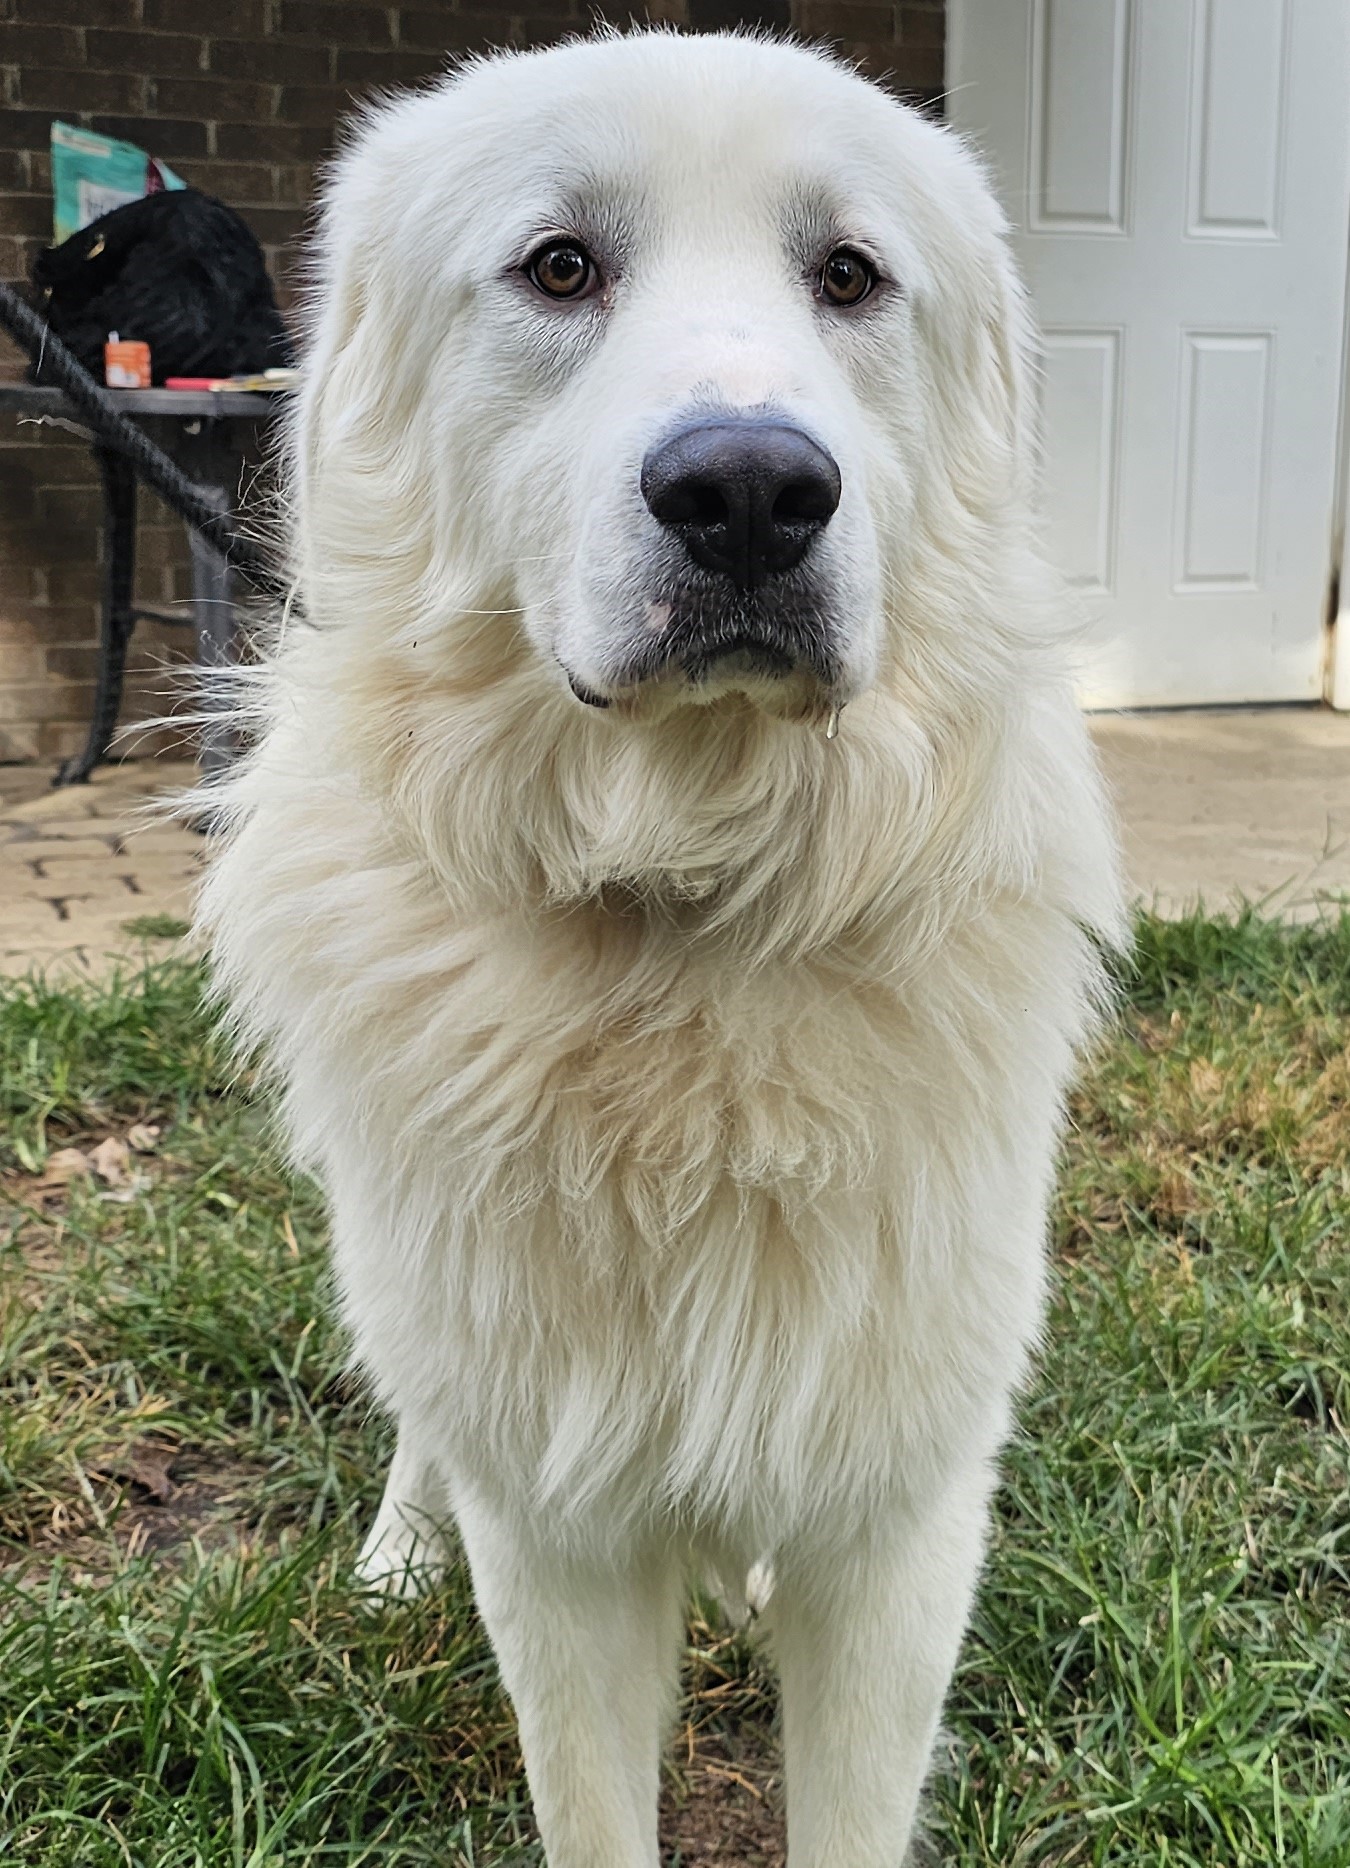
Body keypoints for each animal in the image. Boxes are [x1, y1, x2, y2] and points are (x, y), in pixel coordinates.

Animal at [200, 29, 1127, 1868]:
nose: (751, 494)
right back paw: (398, 1548)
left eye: (848, 277)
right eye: (560, 267)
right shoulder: (556, 1536)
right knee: (421, 1419)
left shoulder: (900, 1528)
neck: (688, 918)